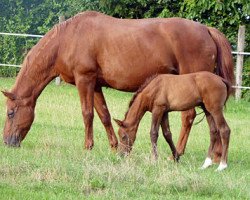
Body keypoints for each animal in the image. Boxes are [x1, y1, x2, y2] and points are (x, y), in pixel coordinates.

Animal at [1, 11, 233, 159]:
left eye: (10, 113)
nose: (7, 143)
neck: (68, 39)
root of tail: (207, 30)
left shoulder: (84, 80)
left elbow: (87, 114)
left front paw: (87, 147)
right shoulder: (94, 84)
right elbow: (103, 114)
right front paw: (113, 147)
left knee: (189, 117)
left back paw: (179, 153)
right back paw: (215, 154)